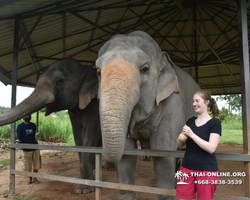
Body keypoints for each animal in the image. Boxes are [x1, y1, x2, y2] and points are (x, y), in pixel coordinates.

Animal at [0, 59, 115, 194]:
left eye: (60, 81)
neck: (85, 69)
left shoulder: (95, 105)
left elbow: (90, 134)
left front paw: (83, 190)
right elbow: (78, 136)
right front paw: (86, 182)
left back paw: (110, 169)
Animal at [94, 30, 200, 200]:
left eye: (144, 69)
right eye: (98, 72)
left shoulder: (173, 103)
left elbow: (162, 151)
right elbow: (127, 152)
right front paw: (126, 197)